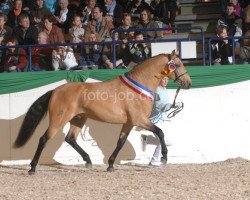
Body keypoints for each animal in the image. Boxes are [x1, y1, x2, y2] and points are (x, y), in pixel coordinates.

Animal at [13, 49, 191, 173]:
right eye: (179, 64)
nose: (188, 83)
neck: (139, 85)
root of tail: (55, 91)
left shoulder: (129, 123)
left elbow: (120, 142)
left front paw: (110, 165)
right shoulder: (139, 120)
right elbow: (160, 132)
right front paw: (165, 158)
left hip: (78, 119)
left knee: (70, 139)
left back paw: (88, 161)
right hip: (59, 120)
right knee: (43, 139)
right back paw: (32, 168)